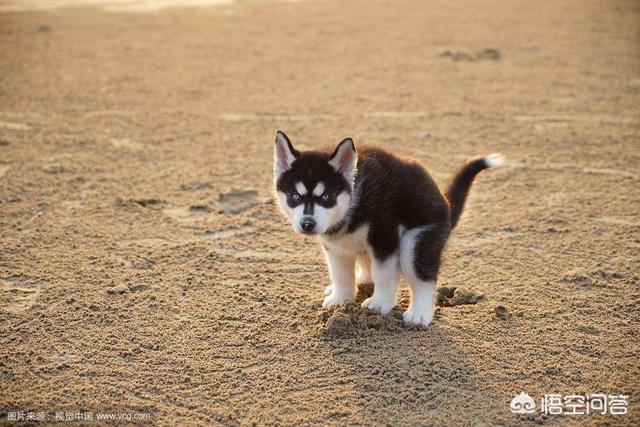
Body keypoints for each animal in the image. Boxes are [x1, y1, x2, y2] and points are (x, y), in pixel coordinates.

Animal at [272, 132, 502, 326]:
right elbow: (340, 275)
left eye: (326, 196)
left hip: (416, 241)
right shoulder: (335, 247)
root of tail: (446, 203)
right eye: (294, 196)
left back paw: (419, 313)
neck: (353, 202)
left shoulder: (385, 237)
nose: (307, 224)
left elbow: (383, 274)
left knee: (423, 279)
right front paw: (340, 298)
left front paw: (380, 304)